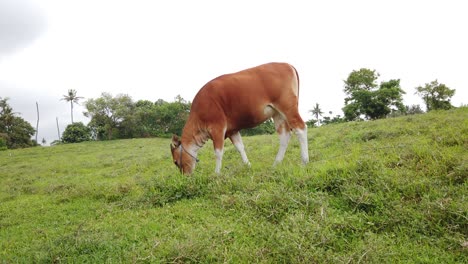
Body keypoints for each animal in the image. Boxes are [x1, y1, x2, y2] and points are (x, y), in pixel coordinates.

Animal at [170, 61, 308, 173]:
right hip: (277, 113)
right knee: (285, 135)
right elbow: (240, 148)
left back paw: (304, 162)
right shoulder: (232, 130)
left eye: (175, 162)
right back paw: (276, 164)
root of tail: (287, 64)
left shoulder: (217, 127)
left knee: (300, 128)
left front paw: (216, 173)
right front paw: (248, 165)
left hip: (288, 107)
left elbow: (218, 152)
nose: (185, 175)